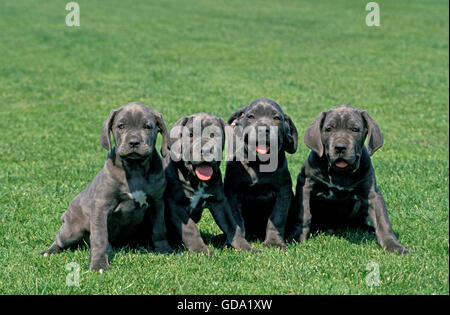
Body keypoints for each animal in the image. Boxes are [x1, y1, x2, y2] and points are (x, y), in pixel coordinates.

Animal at [41, 102, 172, 270]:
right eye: (121, 126)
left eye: (148, 127)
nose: (134, 142)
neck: (135, 169)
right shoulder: (101, 206)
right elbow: (99, 238)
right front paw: (99, 264)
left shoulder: (157, 202)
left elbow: (159, 229)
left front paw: (164, 250)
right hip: (72, 229)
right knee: (60, 239)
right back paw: (49, 252)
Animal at [163, 112, 253, 256]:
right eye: (191, 134)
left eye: (214, 135)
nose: (205, 150)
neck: (196, 180)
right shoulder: (175, 204)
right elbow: (190, 229)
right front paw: (201, 250)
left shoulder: (219, 202)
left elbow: (232, 226)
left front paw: (246, 247)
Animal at [224, 97, 296, 251]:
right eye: (251, 116)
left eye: (276, 118)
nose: (263, 129)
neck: (258, 164)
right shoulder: (232, 192)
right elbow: (236, 220)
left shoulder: (283, 191)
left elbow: (277, 218)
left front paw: (274, 243)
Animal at [286, 105, 410, 256]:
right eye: (328, 129)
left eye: (355, 129)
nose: (340, 147)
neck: (340, 172)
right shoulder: (306, 184)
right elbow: (304, 215)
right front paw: (296, 237)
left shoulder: (372, 193)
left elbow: (382, 221)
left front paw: (394, 246)